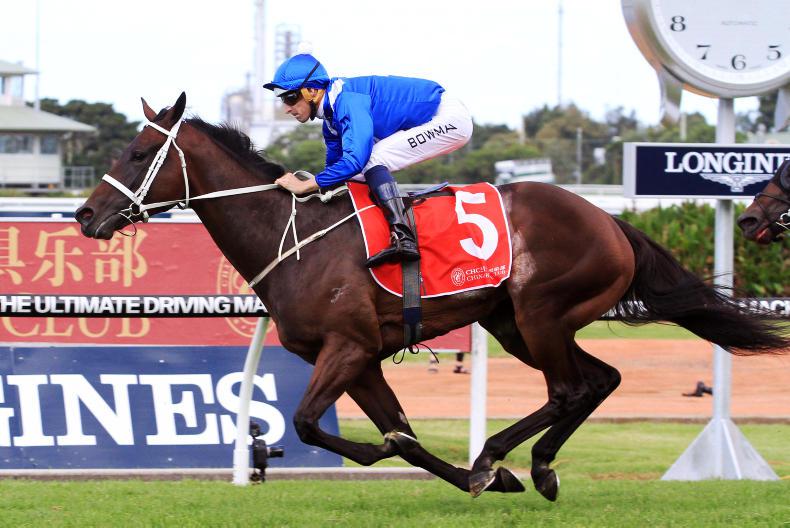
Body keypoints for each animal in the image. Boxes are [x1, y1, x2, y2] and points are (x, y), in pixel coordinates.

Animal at [74, 93, 789, 500]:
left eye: (140, 151)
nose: (85, 216)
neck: (295, 238)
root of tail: (612, 221)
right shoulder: (358, 359)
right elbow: (403, 435)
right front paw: (482, 480)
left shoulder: (347, 346)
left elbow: (312, 424)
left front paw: (461, 466)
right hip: (514, 324)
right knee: (600, 379)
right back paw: (535, 466)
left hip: (541, 313)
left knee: (569, 388)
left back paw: (507, 453)